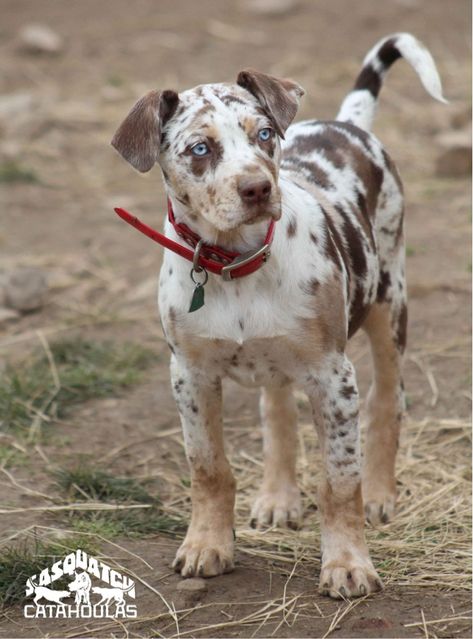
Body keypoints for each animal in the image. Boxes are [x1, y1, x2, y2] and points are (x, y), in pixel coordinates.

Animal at [112, 32, 444, 596]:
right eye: (200, 149)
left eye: (265, 134)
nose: (257, 189)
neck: (235, 264)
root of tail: (346, 123)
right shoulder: (189, 375)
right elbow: (208, 468)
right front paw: (206, 545)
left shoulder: (334, 377)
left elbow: (339, 481)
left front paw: (348, 563)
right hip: (280, 355)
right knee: (278, 411)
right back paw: (278, 497)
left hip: (388, 301)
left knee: (387, 401)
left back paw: (381, 494)